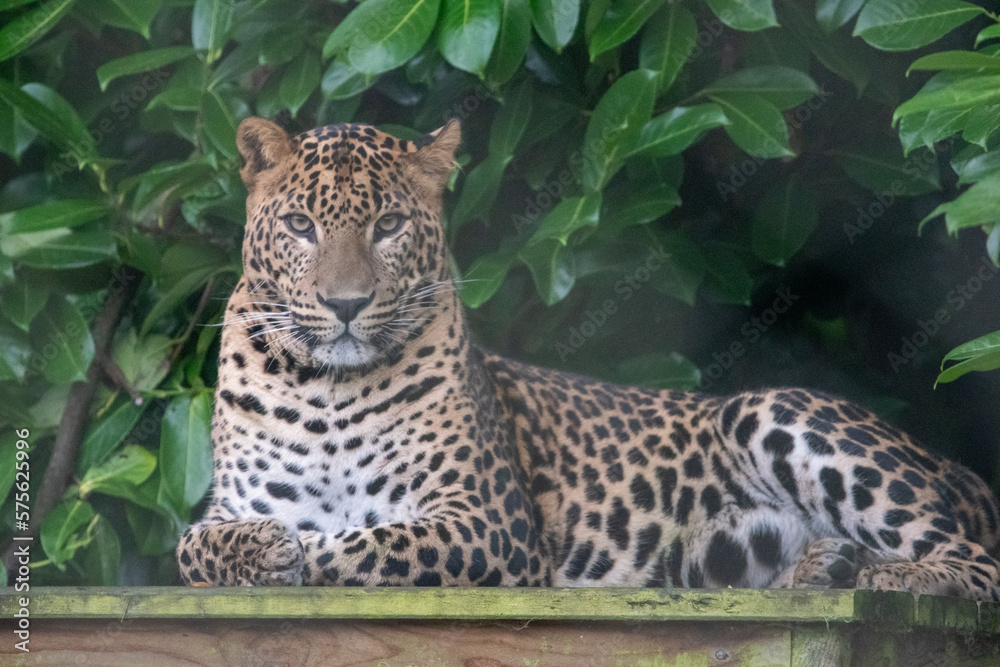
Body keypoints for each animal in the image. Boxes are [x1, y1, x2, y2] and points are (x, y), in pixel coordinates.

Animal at [176, 116, 1000, 601]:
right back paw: (823, 567)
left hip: (773, 407)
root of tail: (959, 470)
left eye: (387, 225)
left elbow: (369, 545)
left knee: (977, 562)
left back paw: (886, 573)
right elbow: (193, 545)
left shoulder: (486, 521)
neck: (328, 388)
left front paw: (295, 551)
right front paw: (262, 547)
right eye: (299, 225)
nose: (346, 303)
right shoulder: (227, 505)